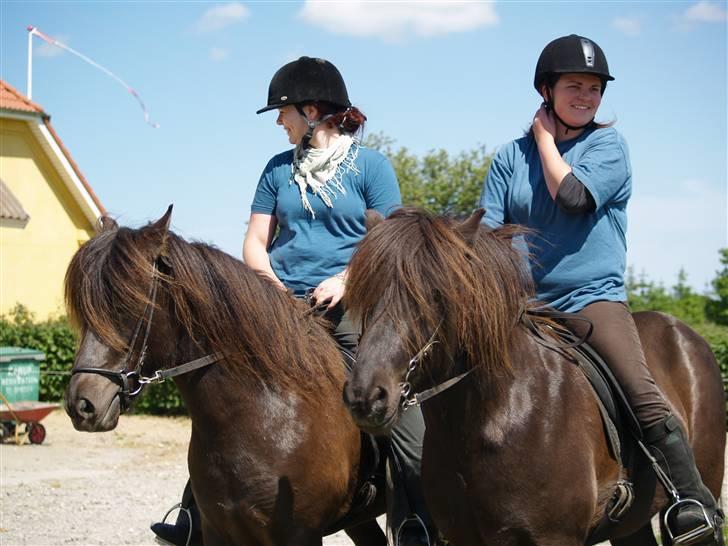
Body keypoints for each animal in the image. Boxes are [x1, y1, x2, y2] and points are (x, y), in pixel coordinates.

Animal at [342, 207, 724, 544]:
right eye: (366, 291)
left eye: (436, 294)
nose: (366, 396)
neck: (499, 414)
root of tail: (684, 332)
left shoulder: (554, 537)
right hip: (630, 526)